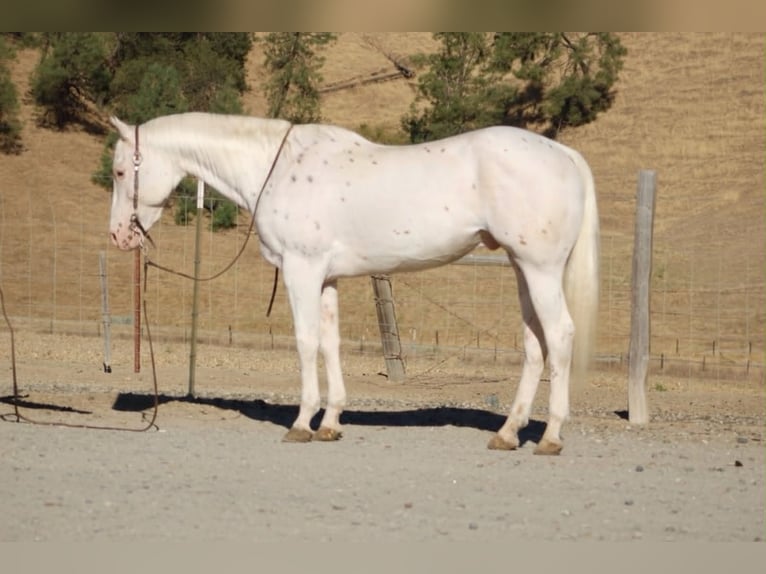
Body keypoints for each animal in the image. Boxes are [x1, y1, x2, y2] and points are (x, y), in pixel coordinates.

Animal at [108, 112, 599, 455]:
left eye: (119, 171)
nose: (118, 236)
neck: (277, 168)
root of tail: (564, 155)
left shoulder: (301, 269)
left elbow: (306, 342)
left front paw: (302, 423)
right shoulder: (326, 278)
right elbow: (331, 343)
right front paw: (329, 424)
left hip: (540, 269)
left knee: (560, 336)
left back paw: (550, 437)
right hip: (522, 268)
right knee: (535, 344)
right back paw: (508, 433)